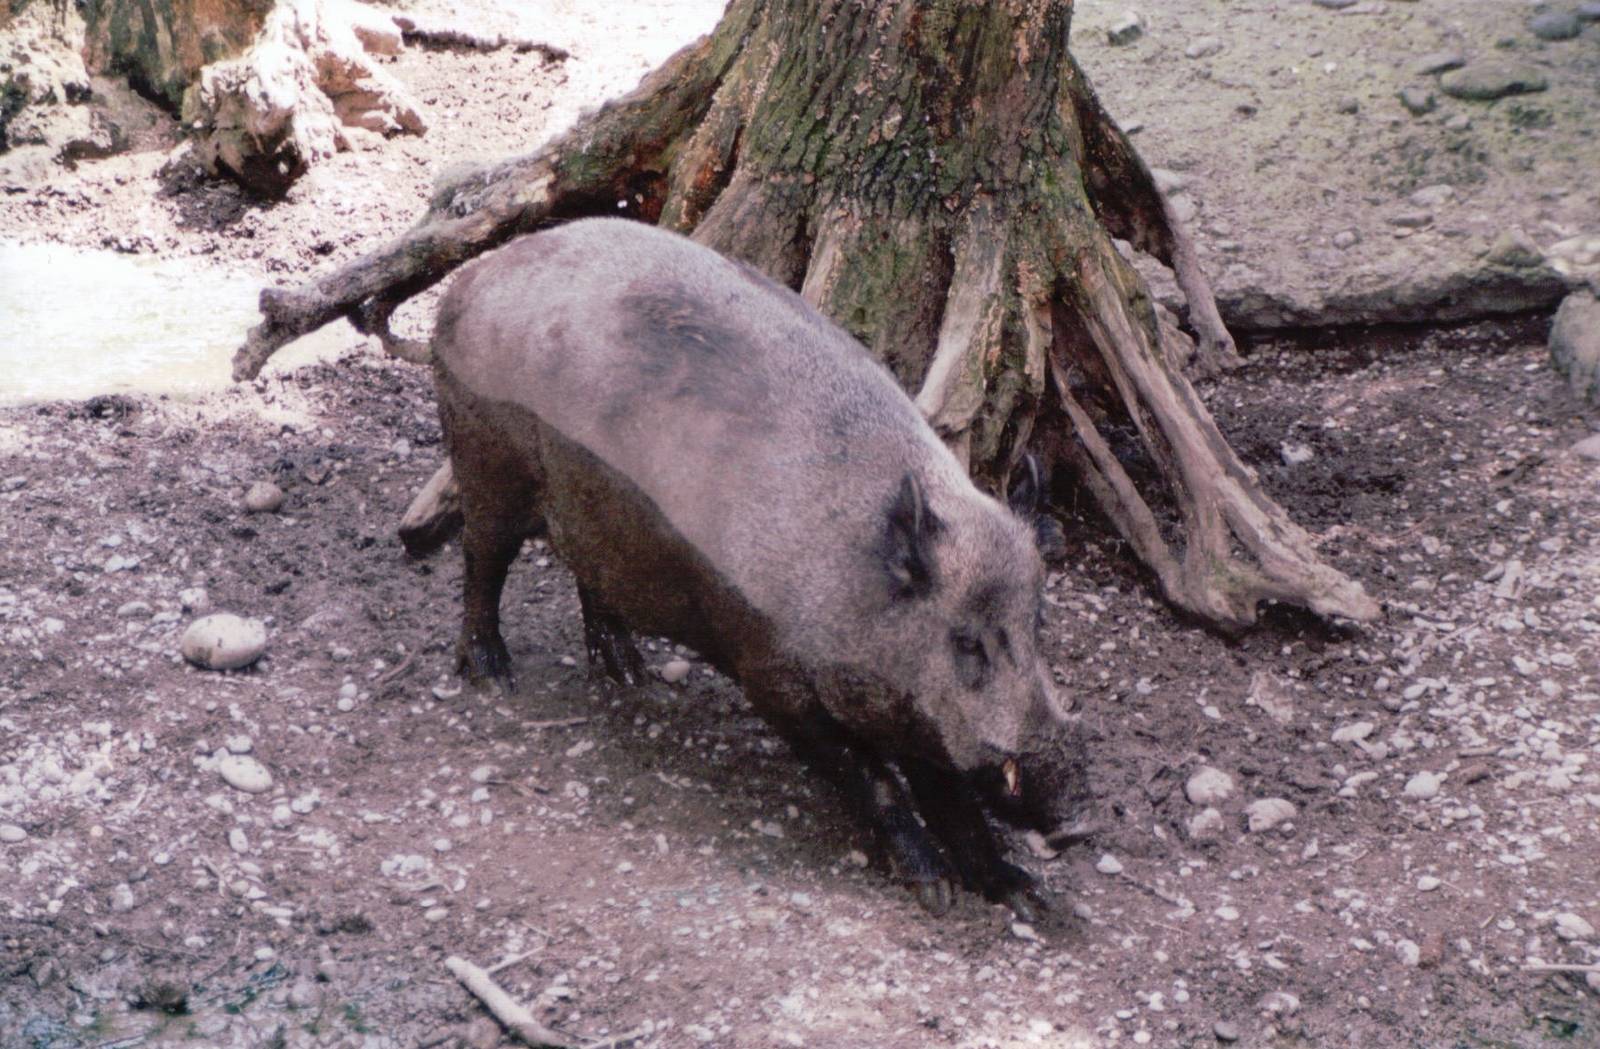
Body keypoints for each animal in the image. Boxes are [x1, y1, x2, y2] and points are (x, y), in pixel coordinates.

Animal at [431, 218, 1086, 917]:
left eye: (1038, 623)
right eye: (965, 641)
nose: (1077, 817)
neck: (842, 579)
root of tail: (472, 281)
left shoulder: (920, 713)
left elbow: (950, 792)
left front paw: (1024, 896)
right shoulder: (771, 674)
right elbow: (874, 778)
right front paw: (934, 891)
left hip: (588, 513)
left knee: (589, 577)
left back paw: (635, 679)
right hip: (485, 456)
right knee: (482, 559)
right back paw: (495, 677)